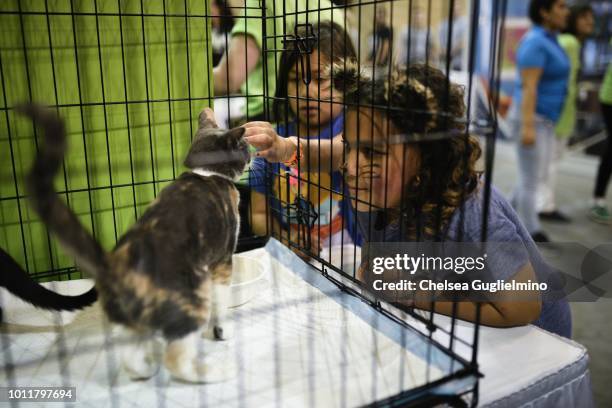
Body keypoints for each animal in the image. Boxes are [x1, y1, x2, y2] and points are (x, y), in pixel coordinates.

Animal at [17, 104, 250, 382]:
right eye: (245, 146)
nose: (253, 152)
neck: (206, 173)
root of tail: (113, 266)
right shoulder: (223, 261)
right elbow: (221, 302)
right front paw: (221, 332)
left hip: (132, 319)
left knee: (129, 354)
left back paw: (144, 370)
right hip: (193, 294)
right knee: (175, 357)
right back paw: (214, 372)